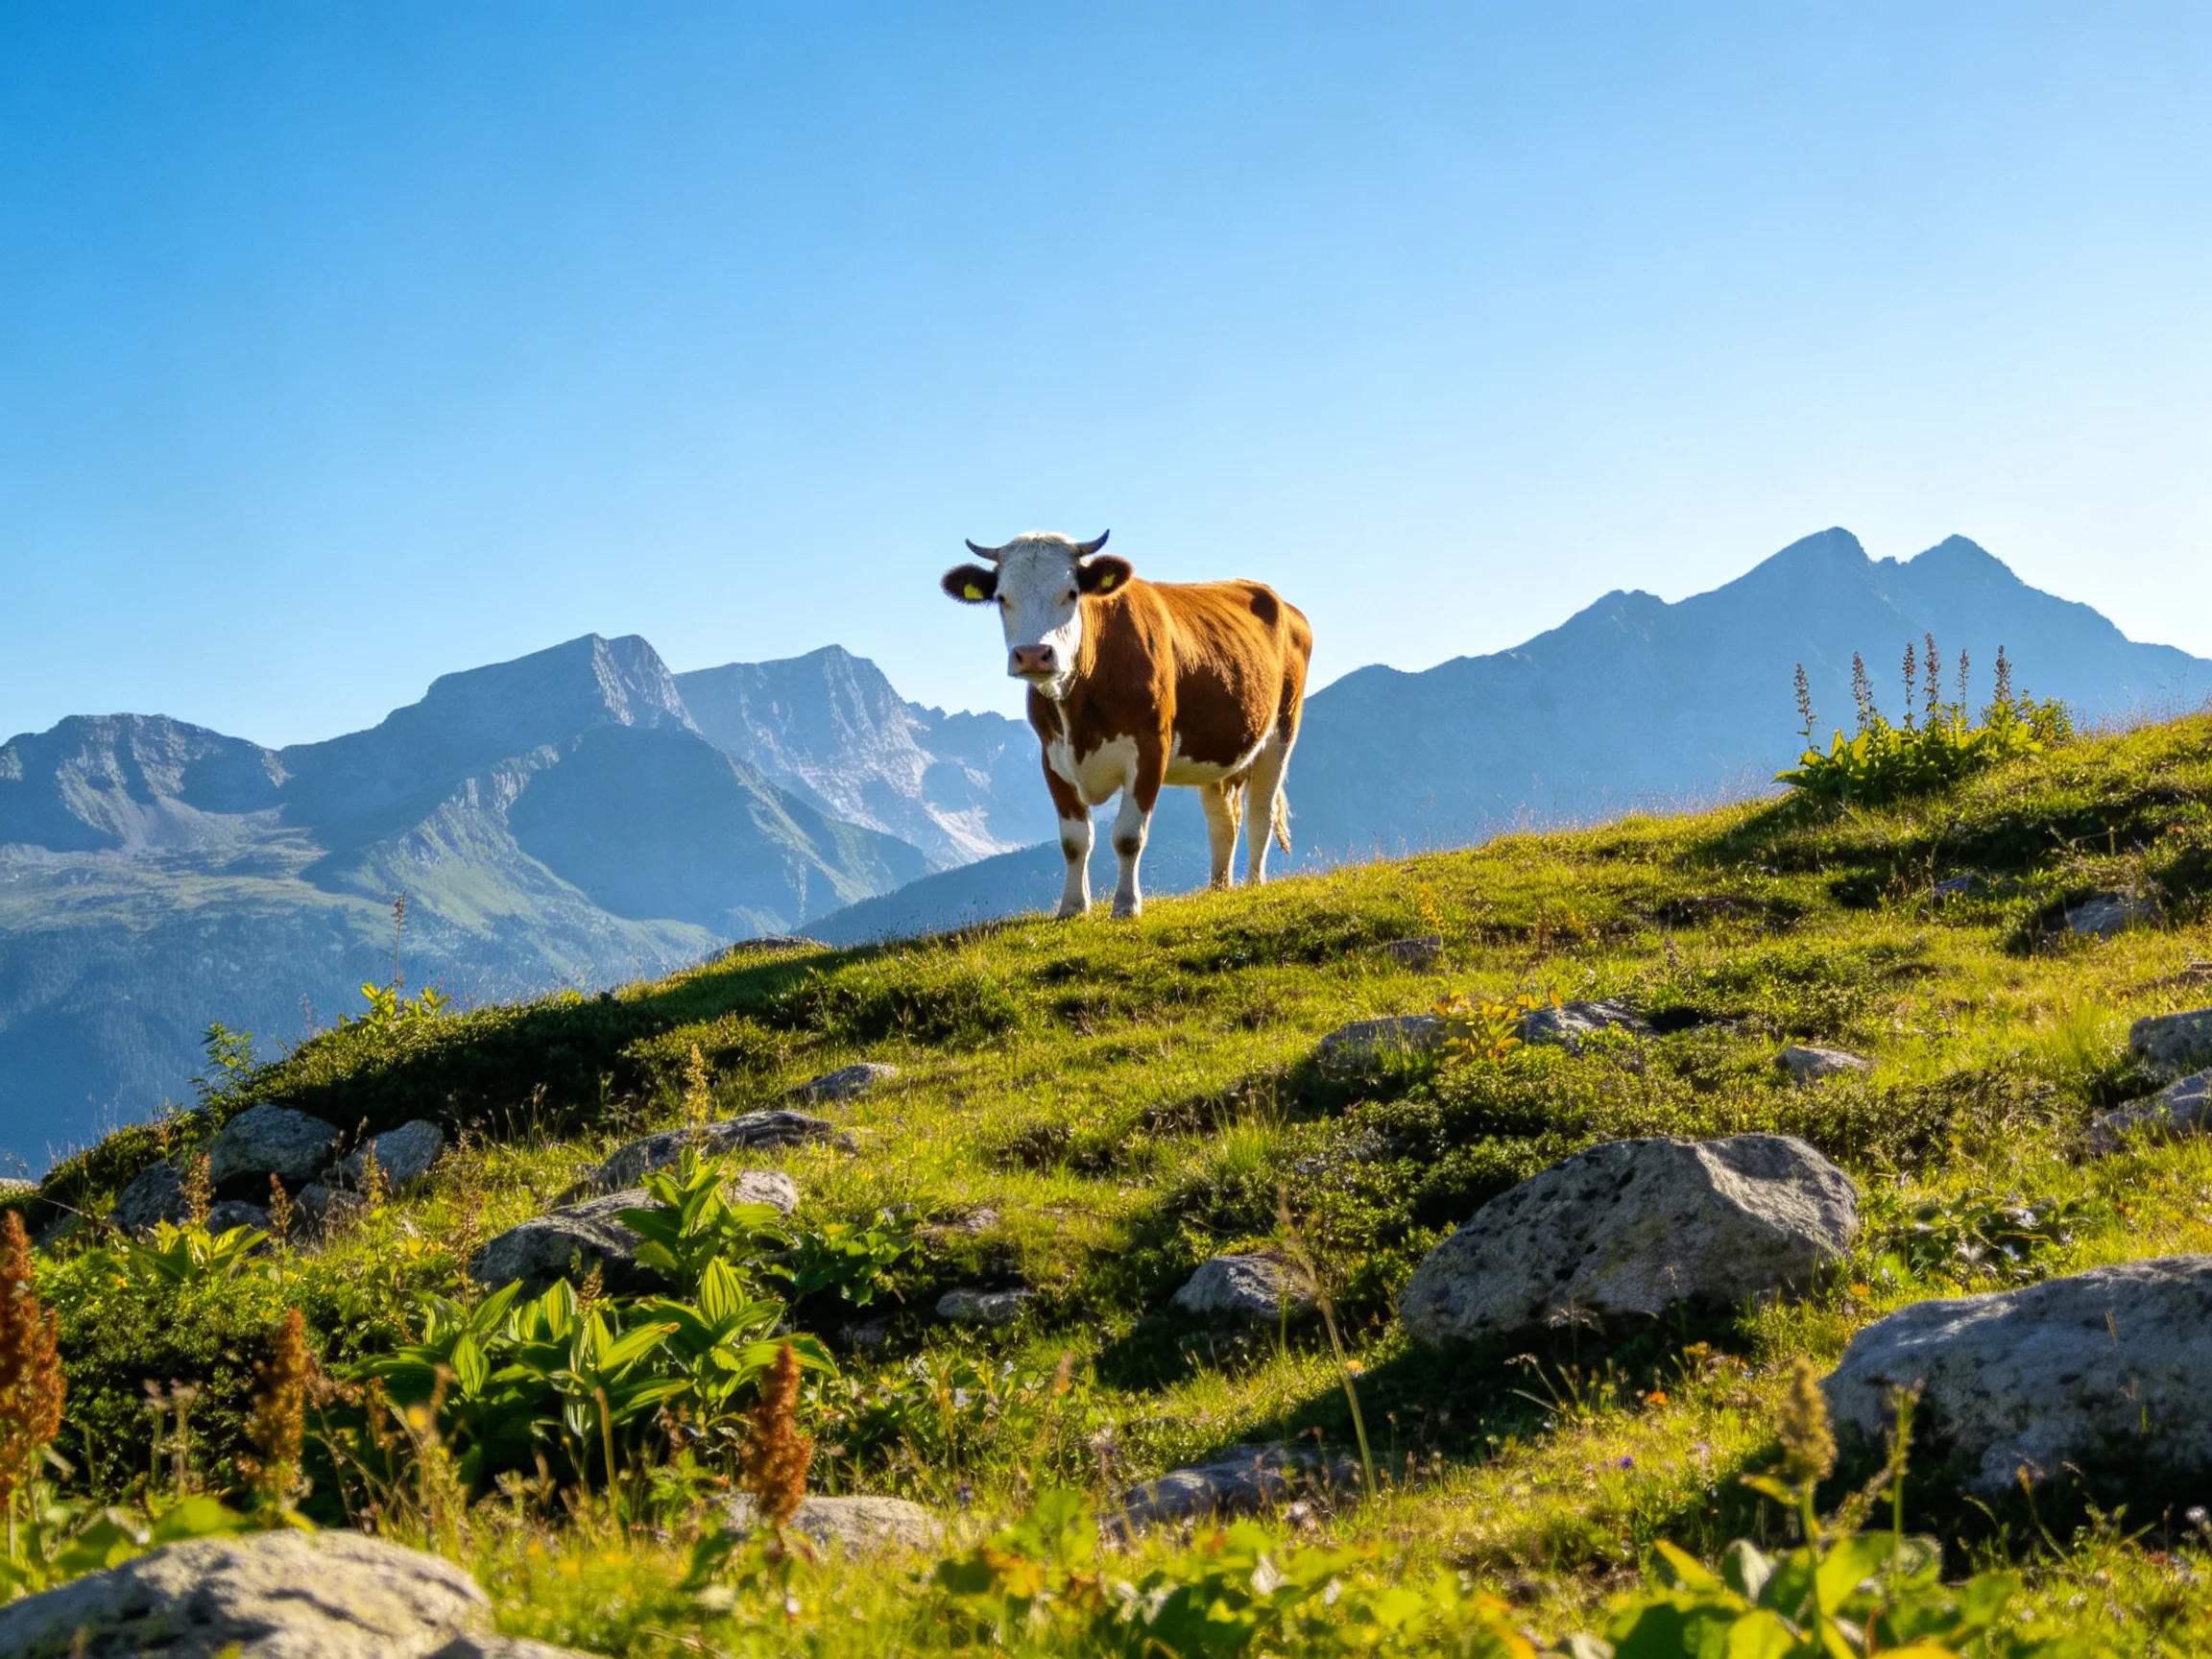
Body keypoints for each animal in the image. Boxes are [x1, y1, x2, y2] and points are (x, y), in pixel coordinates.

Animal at [941, 530, 1313, 919]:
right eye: (1001, 597)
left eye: (1071, 592)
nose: (1032, 654)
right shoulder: (1052, 757)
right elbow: (1074, 841)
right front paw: (1072, 907)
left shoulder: (1151, 748)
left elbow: (1128, 837)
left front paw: (1125, 905)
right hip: (1216, 750)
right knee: (1223, 820)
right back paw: (1218, 888)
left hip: (1281, 732)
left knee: (1260, 814)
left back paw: (1254, 883)